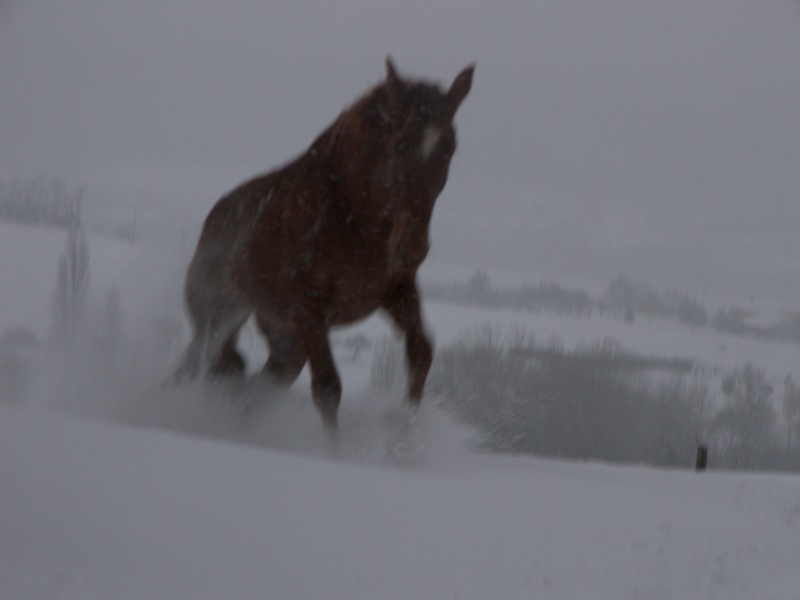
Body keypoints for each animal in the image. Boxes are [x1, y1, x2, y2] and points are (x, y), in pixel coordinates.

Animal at [173, 57, 476, 426]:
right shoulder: (309, 306)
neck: (351, 215)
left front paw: (403, 433)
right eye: (400, 144)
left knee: (256, 381)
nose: (411, 249)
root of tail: (212, 221)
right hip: (219, 320)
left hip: (285, 340)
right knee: (200, 367)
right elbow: (328, 389)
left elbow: (421, 353)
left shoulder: (396, 290)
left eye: (450, 148)